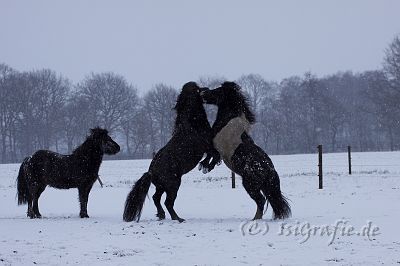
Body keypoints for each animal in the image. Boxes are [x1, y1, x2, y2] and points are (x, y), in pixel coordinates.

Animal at [123, 82, 220, 223]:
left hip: (161, 187)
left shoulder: (207, 147)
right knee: (168, 202)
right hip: (173, 185)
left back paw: (161, 215)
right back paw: (177, 218)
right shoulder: (207, 145)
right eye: (197, 89)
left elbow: (211, 156)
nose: (206, 90)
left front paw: (204, 165)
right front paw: (208, 166)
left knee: (156, 198)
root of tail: (151, 171)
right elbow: (215, 154)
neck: (192, 122)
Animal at [200, 81, 290, 220]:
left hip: (249, 184)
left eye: (218, 91)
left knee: (261, 200)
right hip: (263, 186)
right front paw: (207, 167)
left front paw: (204, 166)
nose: (203, 93)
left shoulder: (215, 145)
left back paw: (255, 219)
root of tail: (270, 170)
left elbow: (211, 154)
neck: (228, 123)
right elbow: (213, 157)